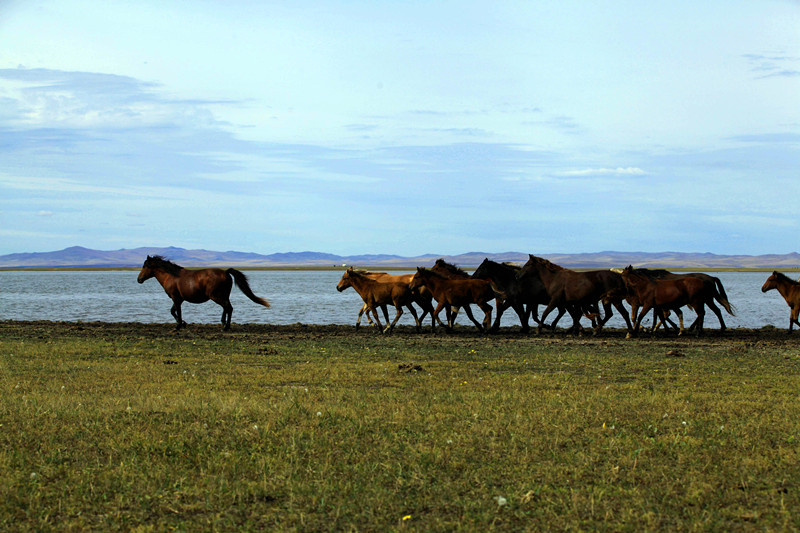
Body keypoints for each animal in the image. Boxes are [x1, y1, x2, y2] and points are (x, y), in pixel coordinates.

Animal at [137, 255, 269, 331]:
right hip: (223, 295)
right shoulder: (179, 299)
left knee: (228, 307)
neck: (171, 276)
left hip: (216, 296)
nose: (139, 279)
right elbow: (173, 311)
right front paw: (183, 324)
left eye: (144, 266)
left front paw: (178, 326)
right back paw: (223, 323)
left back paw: (226, 327)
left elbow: (176, 311)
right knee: (227, 308)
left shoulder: (176, 298)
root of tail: (225, 272)